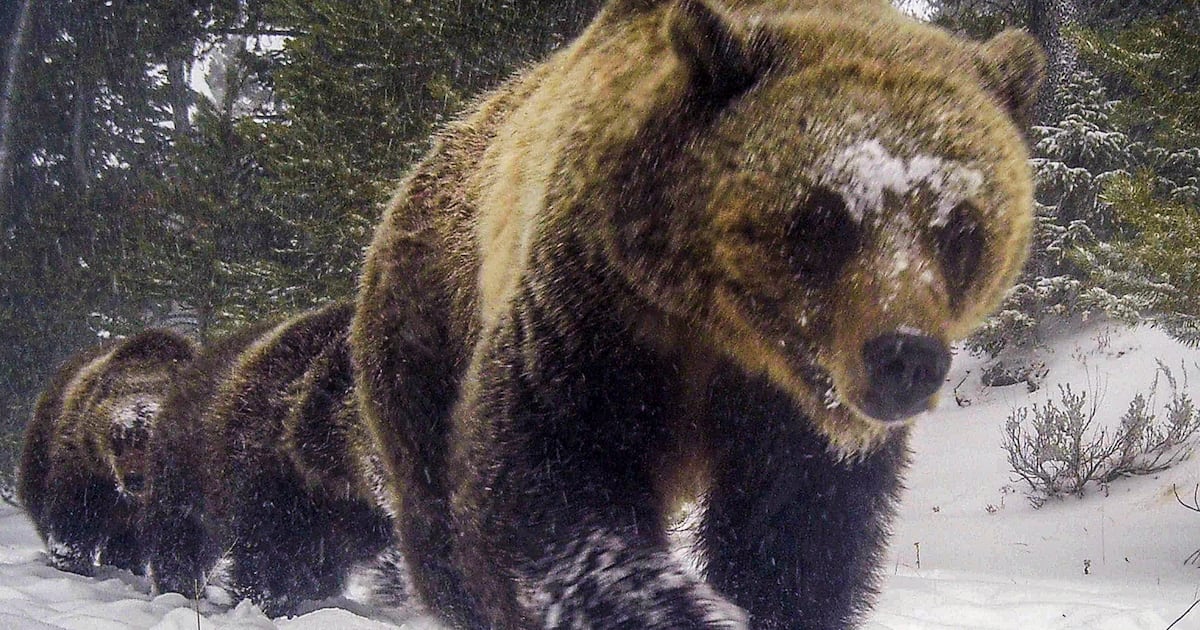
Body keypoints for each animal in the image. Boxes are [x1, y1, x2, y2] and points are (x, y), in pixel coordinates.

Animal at [18, 329, 196, 576]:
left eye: (150, 442)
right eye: (118, 438)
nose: (135, 479)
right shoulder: (86, 464)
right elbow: (75, 512)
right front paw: (71, 561)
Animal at [146, 302, 394, 616]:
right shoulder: (268, 483)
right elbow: (268, 556)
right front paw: (269, 604)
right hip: (184, 470)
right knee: (179, 533)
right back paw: (178, 589)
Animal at [351, 0, 1044, 628]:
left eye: (961, 228)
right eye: (824, 218)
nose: (905, 355)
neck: (725, 332)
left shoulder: (788, 415)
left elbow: (797, 536)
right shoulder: (593, 320)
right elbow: (546, 488)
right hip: (425, 322)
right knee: (432, 499)